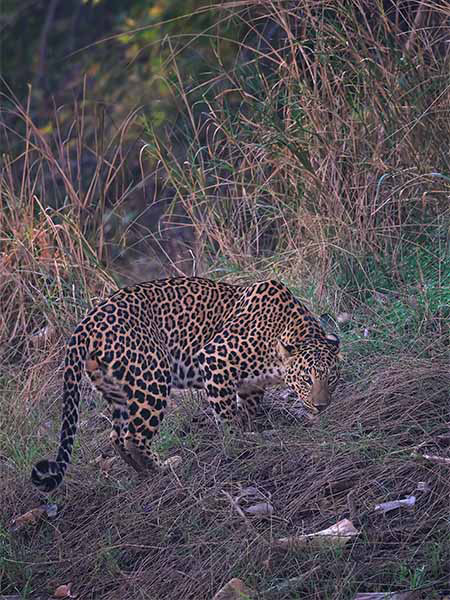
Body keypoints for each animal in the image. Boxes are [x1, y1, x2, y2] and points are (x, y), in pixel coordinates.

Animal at [31, 276, 342, 492]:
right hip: (152, 377)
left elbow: (247, 409)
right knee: (134, 435)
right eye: (306, 379)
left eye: (332, 378)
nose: (321, 405)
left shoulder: (250, 386)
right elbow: (226, 415)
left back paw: (144, 472)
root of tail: (85, 322)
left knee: (116, 435)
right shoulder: (215, 359)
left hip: (118, 389)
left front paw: (252, 429)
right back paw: (164, 468)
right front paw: (238, 442)